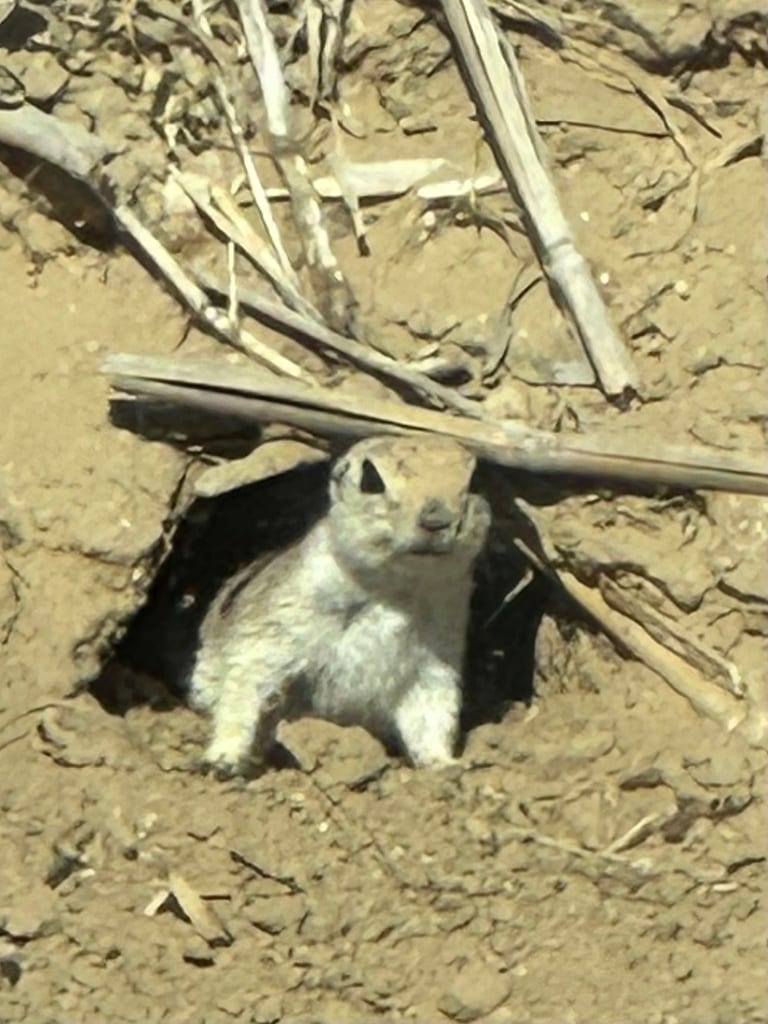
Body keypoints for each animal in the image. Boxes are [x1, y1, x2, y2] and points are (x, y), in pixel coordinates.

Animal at [188, 435, 491, 775]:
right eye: (371, 479)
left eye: (476, 479)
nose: (437, 520)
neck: (396, 590)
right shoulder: (276, 622)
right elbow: (245, 682)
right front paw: (224, 757)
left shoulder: (437, 655)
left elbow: (433, 710)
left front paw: (445, 763)